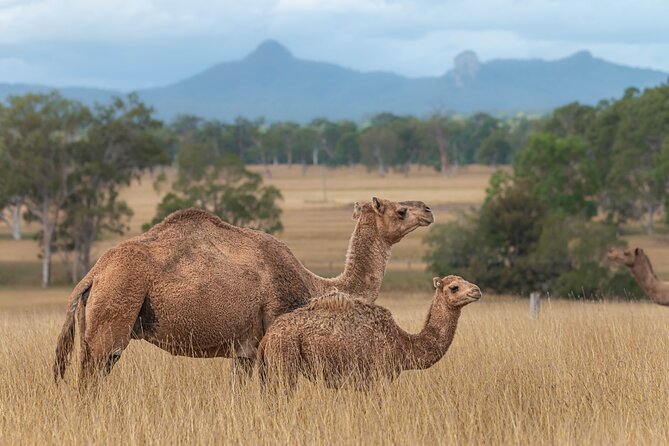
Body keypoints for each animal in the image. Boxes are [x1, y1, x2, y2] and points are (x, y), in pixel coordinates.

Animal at [53, 197, 434, 388]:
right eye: (400, 210)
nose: (428, 210)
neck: (314, 286)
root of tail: (92, 276)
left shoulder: (245, 350)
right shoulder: (271, 331)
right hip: (115, 311)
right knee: (92, 375)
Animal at [257, 275, 481, 391]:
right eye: (454, 287)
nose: (476, 290)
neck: (402, 343)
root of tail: (268, 336)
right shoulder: (378, 378)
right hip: (284, 361)